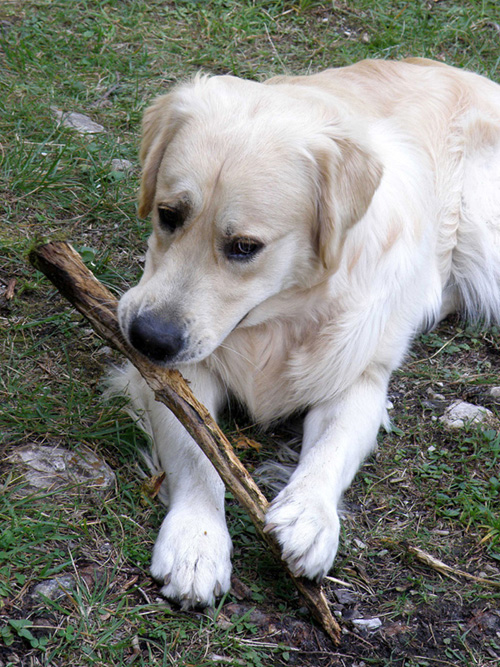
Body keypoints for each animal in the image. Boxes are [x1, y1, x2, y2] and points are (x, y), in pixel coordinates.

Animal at [113, 58, 500, 612]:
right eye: (169, 214)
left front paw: (308, 517)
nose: (149, 339)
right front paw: (195, 541)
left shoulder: (358, 379)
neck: (277, 321)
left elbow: (330, 450)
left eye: (244, 247)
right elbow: (198, 453)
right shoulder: (176, 376)